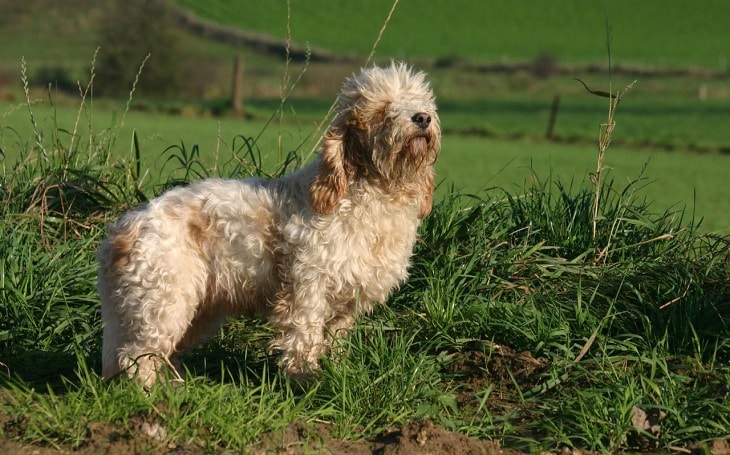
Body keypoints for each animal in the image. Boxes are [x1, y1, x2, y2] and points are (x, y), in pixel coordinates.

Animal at [96, 62, 438, 386]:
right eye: (383, 107)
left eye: (420, 99)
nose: (422, 118)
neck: (374, 193)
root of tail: (120, 230)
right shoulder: (307, 289)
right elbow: (304, 338)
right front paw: (305, 380)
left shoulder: (346, 302)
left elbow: (336, 341)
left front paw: (336, 372)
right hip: (164, 302)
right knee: (136, 357)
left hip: (193, 309)